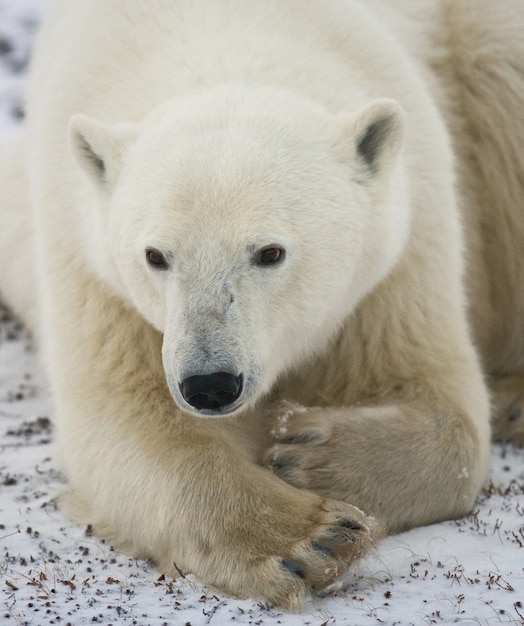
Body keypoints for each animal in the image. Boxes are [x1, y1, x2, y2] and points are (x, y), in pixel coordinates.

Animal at [1, 0, 524, 608]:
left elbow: (437, 401)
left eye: (269, 252)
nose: (209, 384)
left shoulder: (397, 253)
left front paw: (306, 452)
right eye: (156, 255)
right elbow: (126, 420)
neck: (228, 33)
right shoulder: (93, 269)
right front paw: (310, 538)